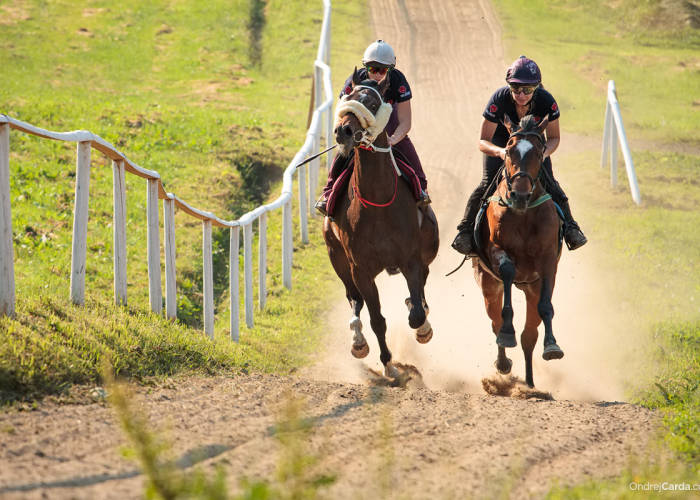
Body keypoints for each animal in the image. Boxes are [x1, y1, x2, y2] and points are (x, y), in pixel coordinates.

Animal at [322, 69, 438, 376]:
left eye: (373, 103)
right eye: (348, 96)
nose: (343, 131)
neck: (377, 202)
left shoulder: (410, 259)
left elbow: (416, 312)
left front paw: (422, 327)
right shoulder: (360, 269)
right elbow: (377, 319)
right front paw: (388, 365)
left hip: (427, 249)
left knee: (422, 287)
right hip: (337, 258)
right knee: (354, 300)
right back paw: (358, 339)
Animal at [474, 112, 568, 386]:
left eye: (538, 152)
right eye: (508, 150)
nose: (519, 195)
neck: (524, 214)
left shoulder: (548, 262)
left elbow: (545, 308)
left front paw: (552, 346)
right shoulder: (496, 250)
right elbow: (506, 270)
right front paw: (507, 333)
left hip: (531, 288)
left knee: (528, 335)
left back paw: (529, 382)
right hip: (488, 285)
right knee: (495, 320)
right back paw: (503, 362)